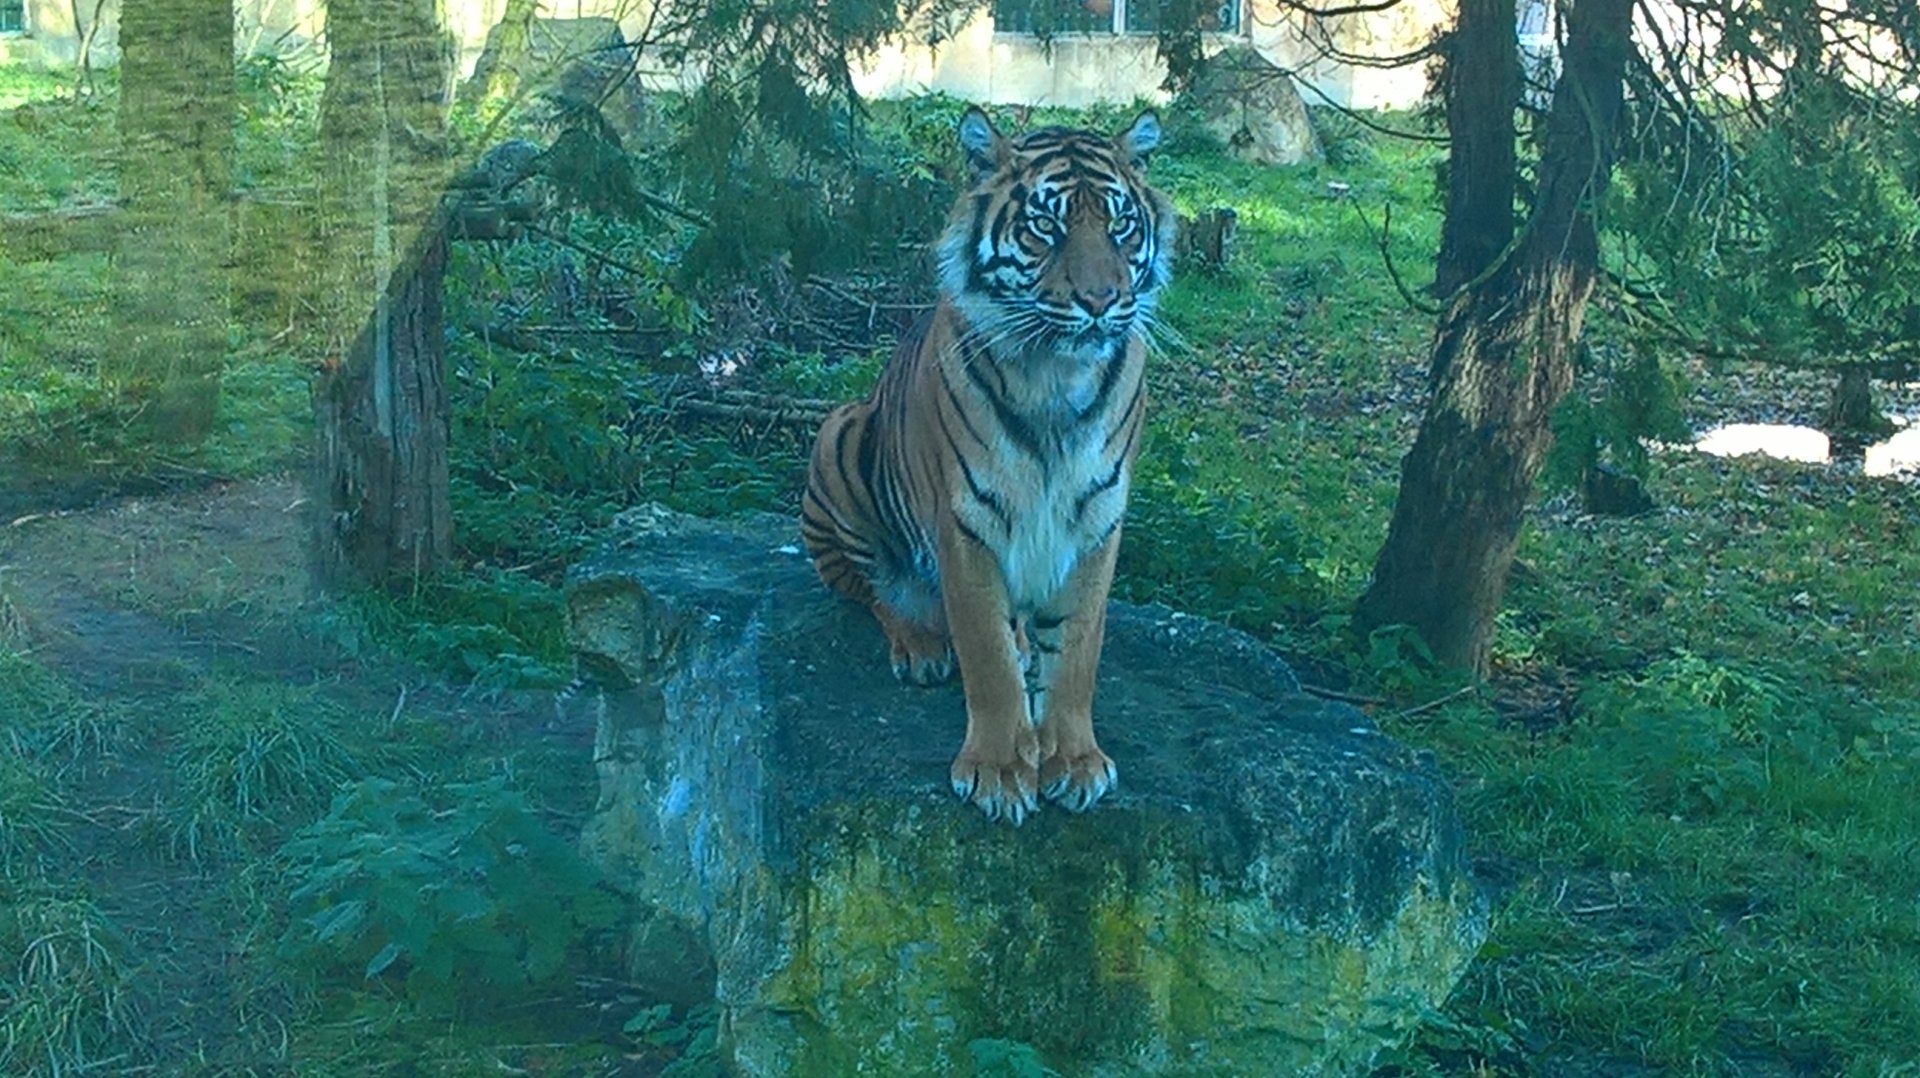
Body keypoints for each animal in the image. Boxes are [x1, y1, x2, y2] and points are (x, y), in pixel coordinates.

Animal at [799, 106, 1175, 826]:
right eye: (1046, 226)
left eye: (1120, 225)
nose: (1101, 300)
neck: (1058, 376)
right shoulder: (967, 524)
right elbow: (984, 652)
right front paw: (1000, 772)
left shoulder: (1097, 519)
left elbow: (1078, 649)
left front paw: (1074, 761)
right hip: (837, 435)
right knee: (872, 589)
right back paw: (919, 644)